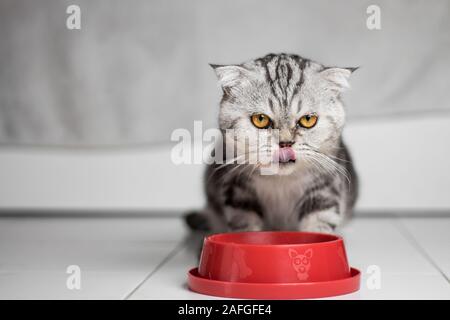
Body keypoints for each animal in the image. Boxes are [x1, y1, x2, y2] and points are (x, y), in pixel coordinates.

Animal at [185, 52, 356, 232]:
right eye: (260, 119)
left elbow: (319, 226)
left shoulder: (325, 188)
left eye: (308, 119)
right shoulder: (237, 191)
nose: (285, 143)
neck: (280, 182)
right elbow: (245, 226)